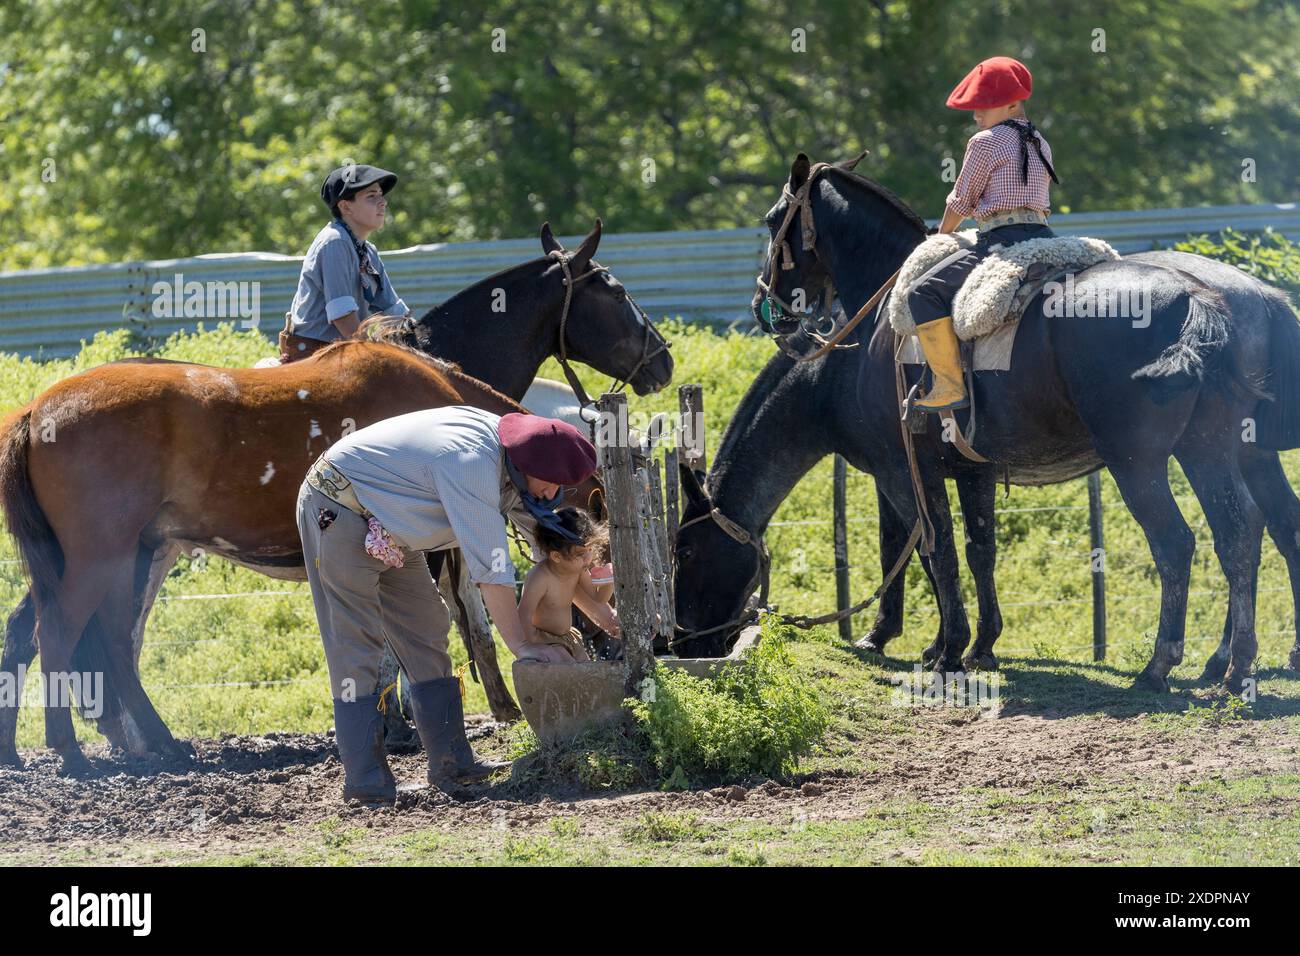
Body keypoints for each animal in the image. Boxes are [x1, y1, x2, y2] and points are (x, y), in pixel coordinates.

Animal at [0, 343, 598, 780]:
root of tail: (35, 411)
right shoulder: (426, 547)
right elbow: (406, 645)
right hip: (99, 558)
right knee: (61, 633)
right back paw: (73, 751)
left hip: (123, 557)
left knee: (92, 641)